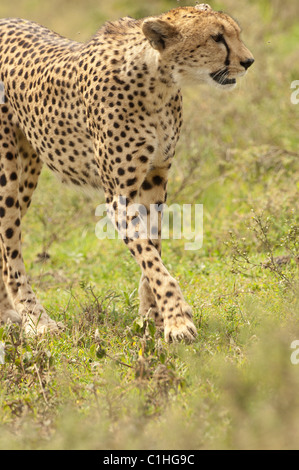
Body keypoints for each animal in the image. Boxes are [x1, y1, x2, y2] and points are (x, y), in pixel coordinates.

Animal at [0, 3, 254, 342]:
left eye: (235, 33)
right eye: (216, 38)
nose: (248, 61)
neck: (158, 80)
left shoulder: (155, 178)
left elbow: (152, 249)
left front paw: (152, 317)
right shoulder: (118, 197)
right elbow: (150, 257)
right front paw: (177, 319)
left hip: (27, 172)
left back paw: (8, 315)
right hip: (8, 176)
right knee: (10, 251)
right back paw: (36, 319)